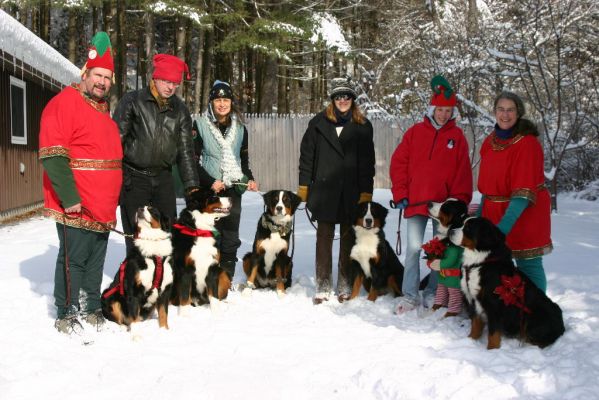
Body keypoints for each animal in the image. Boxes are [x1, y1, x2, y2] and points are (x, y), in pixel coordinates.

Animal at [171, 188, 234, 316]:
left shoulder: (212, 267)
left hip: (223, 274)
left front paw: (216, 314)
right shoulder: (185, 270)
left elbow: (214, 297)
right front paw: (184, 316)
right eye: (214, 196)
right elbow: (184, 297)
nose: (231, 198)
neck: (200, 230)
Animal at [450, 217, 568, 348]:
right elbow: (475, 324)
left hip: (532, 316)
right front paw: (470, 340)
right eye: (462, 224)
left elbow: (493, 332)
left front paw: (492, 349)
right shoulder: (473, 298)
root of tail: (561, 326)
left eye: (468, 228)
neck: (478, 262)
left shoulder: (494, 303)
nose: (450, 231)